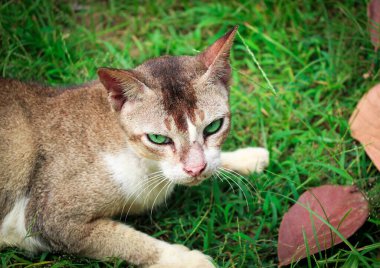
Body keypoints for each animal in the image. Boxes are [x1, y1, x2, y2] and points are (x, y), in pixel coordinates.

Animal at [0, 26, 268, 268]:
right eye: (158, 138)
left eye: (213, 127)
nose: (195, 169)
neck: (148, 167)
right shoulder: (47, 219)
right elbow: (125, 240)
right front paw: (187, 259)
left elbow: (217, 160)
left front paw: (248, 157)